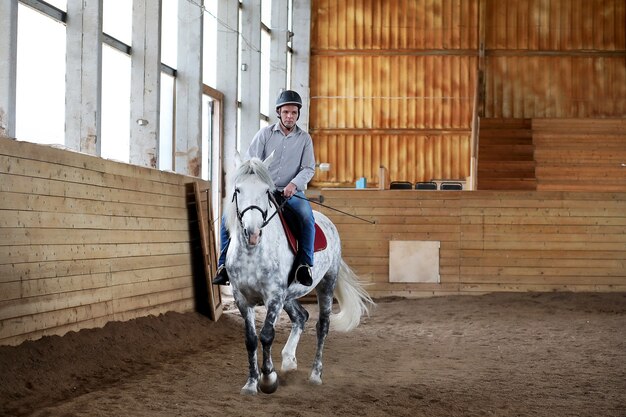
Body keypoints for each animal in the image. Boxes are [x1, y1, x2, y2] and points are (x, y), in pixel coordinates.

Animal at [223, 153, 372, 394]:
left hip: (326, 284)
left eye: (266, 191)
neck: (253, 252)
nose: (253, 233)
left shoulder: (274, 296)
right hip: (289, 295)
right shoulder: (242, 298)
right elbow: (251, 339)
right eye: (238, 190)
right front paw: (251, 383)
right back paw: (288, 360)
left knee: (322, 326)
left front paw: (268, 379)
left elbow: (267, 335)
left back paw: (315, 375)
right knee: (301, 316)